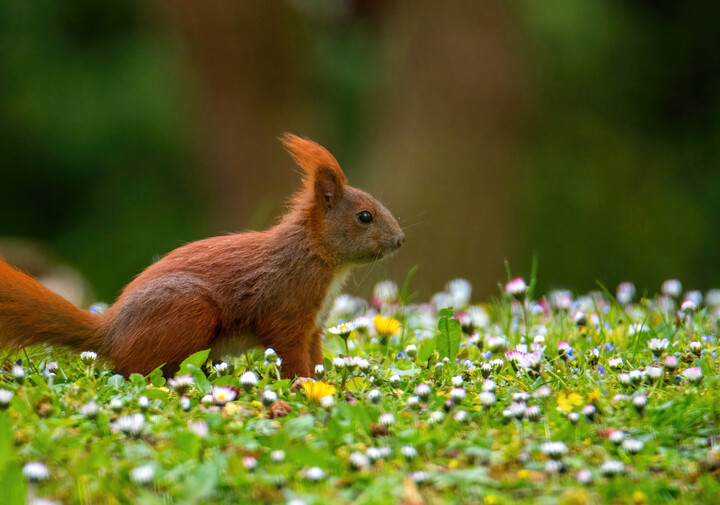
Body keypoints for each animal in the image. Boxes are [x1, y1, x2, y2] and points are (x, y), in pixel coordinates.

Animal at [0, 132, 404, 376]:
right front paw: (304, 387)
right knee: (140, 370)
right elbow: (292, 357)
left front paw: (326, 384)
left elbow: (315, 356)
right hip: (190, 312)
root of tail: (109, 332)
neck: (317, 257)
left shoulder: (315, 326)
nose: (400, 240)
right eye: (365, 216)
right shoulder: (286, 312)